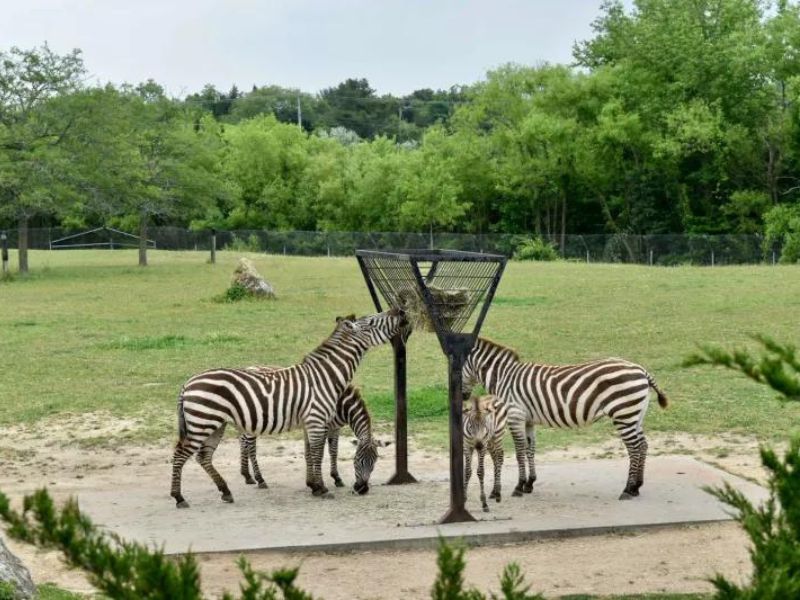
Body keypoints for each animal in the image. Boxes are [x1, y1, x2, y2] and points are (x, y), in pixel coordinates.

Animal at [169, 308, 406, 508]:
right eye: (372, 321)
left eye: (375, 461)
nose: (400, 311)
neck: (327, 377)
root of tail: (188, 383)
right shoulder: (317, 420)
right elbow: (318, 454)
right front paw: (322, 488)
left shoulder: (312, 423)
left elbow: (311, 453)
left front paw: (313, 486)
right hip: (203, 423)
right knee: (180, 454)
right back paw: (179, 497)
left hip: (215, 425)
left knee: (204, 457)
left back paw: (226, 491)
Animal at [462, 338, 668, 502]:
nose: (463, 397)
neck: (504, 377)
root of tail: (642, 370)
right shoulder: (528, 420)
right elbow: (530, 450)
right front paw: (530, 483)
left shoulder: (515, 415)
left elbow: (520, 452)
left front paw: (519, 486)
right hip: (635, 415)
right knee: (643, 445)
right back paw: (637, 487)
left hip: (623, 414)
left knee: (634, 448)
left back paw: (628, 489)